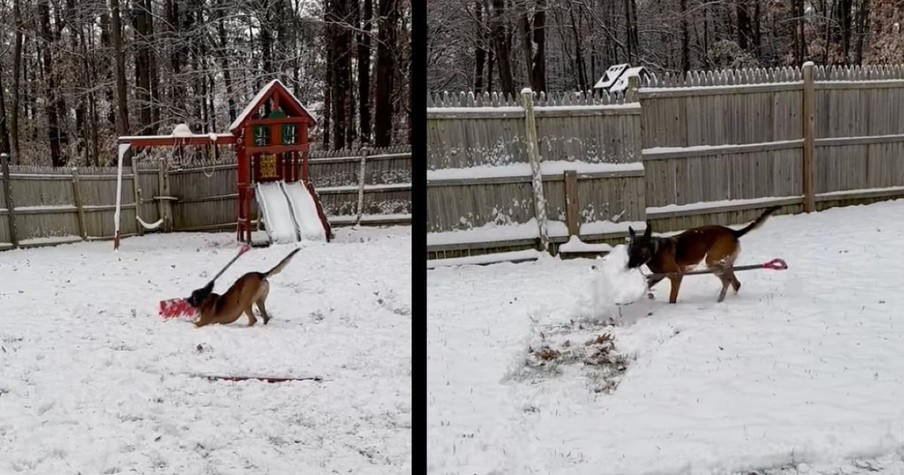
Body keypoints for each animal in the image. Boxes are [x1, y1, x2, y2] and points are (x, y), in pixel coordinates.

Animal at [628, 207, 776, 304]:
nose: (628, 266)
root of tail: (733, 232)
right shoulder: (659, 275)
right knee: (735, 282)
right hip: (721, 263)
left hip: (712, 261)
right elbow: (647, 285)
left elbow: (672, 298)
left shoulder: (676, 275)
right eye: (629, 251)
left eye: (640, 251)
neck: (655, 251)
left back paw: (721, 299)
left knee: (727, 281)